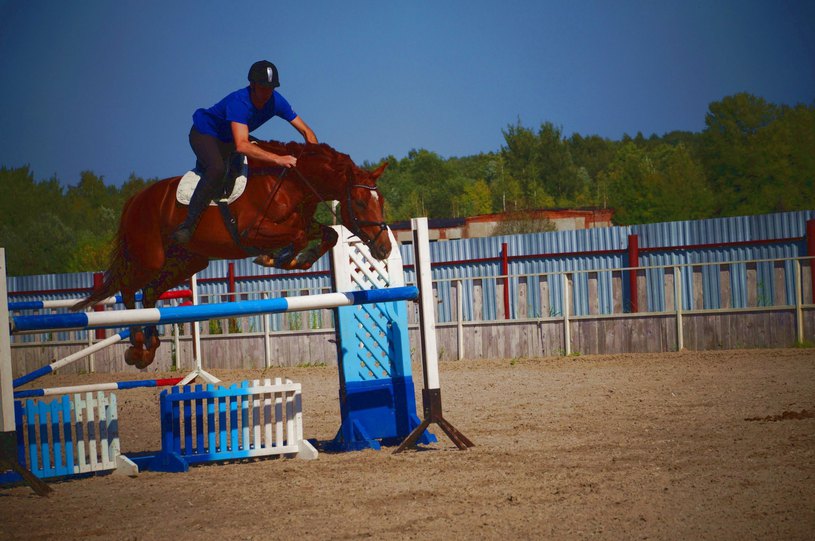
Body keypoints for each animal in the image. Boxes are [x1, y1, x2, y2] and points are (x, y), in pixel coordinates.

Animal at [75, 139, 392, 370]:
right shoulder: (252, 233)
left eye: (381, 201)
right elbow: (298, 237)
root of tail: (135, 199)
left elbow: (329, 234)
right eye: (360, 203)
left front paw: (296, 259)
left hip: (189, 261)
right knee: (130, 290)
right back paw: (137, 347)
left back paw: (148, 349)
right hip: (150, 258)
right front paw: (277, 258)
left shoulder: (303, 223)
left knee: (151, 293)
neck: (293, 183)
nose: (385, 248)